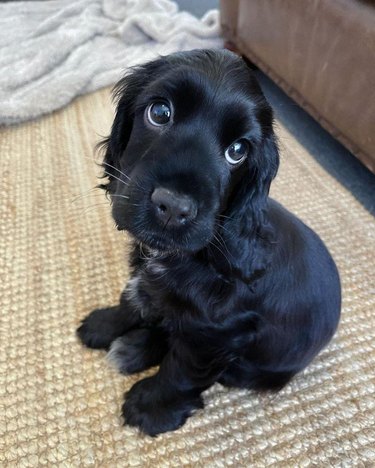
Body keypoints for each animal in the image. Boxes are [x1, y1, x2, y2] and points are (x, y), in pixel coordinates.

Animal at [78, 49, 342, 436]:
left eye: (237, 150)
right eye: (160, 112)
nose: (173, 207)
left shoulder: (217, 335)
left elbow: (182, 370)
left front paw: (151, 408)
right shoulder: (146, 275)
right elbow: (134, 296)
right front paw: (104, 324)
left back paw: (137, 348)